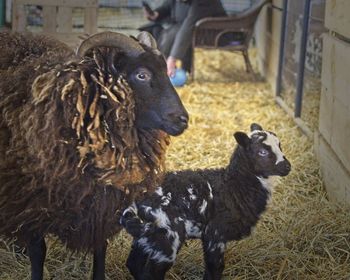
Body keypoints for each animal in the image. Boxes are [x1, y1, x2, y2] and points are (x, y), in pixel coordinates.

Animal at [121, 123, 292, 278]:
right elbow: (215, 268)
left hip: (146, 237)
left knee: (134, 264)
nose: (287, 166)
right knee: (151, 272)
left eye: (280, 145)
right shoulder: (215, 233)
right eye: (262, 152)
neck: (234, 186)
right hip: (166, 237)